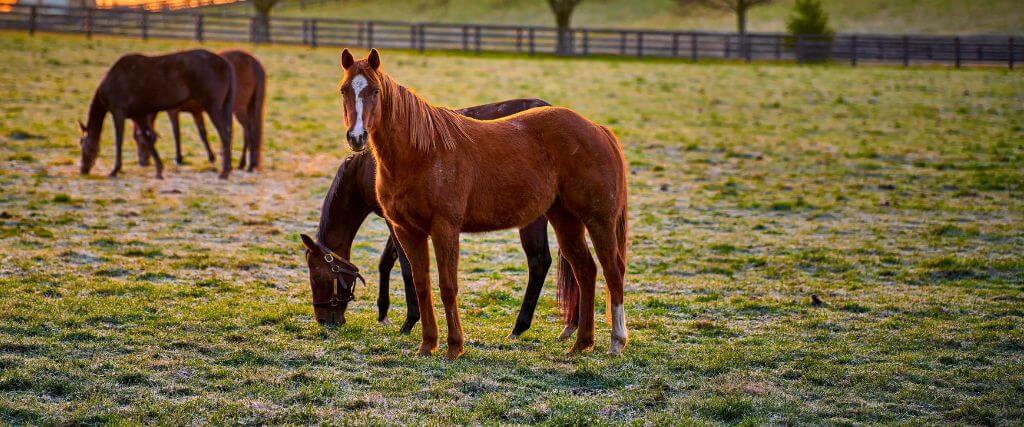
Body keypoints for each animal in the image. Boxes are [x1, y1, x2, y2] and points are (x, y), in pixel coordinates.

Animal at [78, 49, 235, 179]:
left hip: (212, 107)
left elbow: (119, 141)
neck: (111, 82)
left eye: (84, 145)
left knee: (225, 135)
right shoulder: (138, 115)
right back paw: (226, 168)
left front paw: (115, 170)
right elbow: (148, 139)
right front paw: (159, 169)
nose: (83, 170)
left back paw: (224, 172)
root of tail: (225, 64)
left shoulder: (118, 112)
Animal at [134, 50, 267, 172]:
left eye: (139, 139)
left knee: (249, 130)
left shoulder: (173, 111)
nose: (142, 162)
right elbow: (202, 133)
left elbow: (176, 133)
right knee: (247, 131)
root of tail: (253, 62)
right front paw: (211, 157)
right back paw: (244, 163)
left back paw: (247, 165)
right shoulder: (196, 112)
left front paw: (178, 158)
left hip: (238, 109)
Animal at [299, 98, 580, 338]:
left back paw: (520, 327)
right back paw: (572, 326)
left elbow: (406, 267)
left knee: (539, 261)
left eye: (318, 276)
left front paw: (409, 321)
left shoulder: (396, 222)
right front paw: (383, 312)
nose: (324, 320)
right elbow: (386, 262)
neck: (366, 167)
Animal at [337, 49, 629, 359]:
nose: (356, 137)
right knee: (586, 271)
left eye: (375, 90)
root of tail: (597, 129)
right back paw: (581, 343)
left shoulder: (444, 228)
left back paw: (616, 341)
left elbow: (447, 286)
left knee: (613, 271)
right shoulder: (407, 231)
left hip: (598, 220)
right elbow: (421, 285)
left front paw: (454, 347)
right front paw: (427, 344)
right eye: (344, 89)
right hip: (565, 220)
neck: (422, 152)